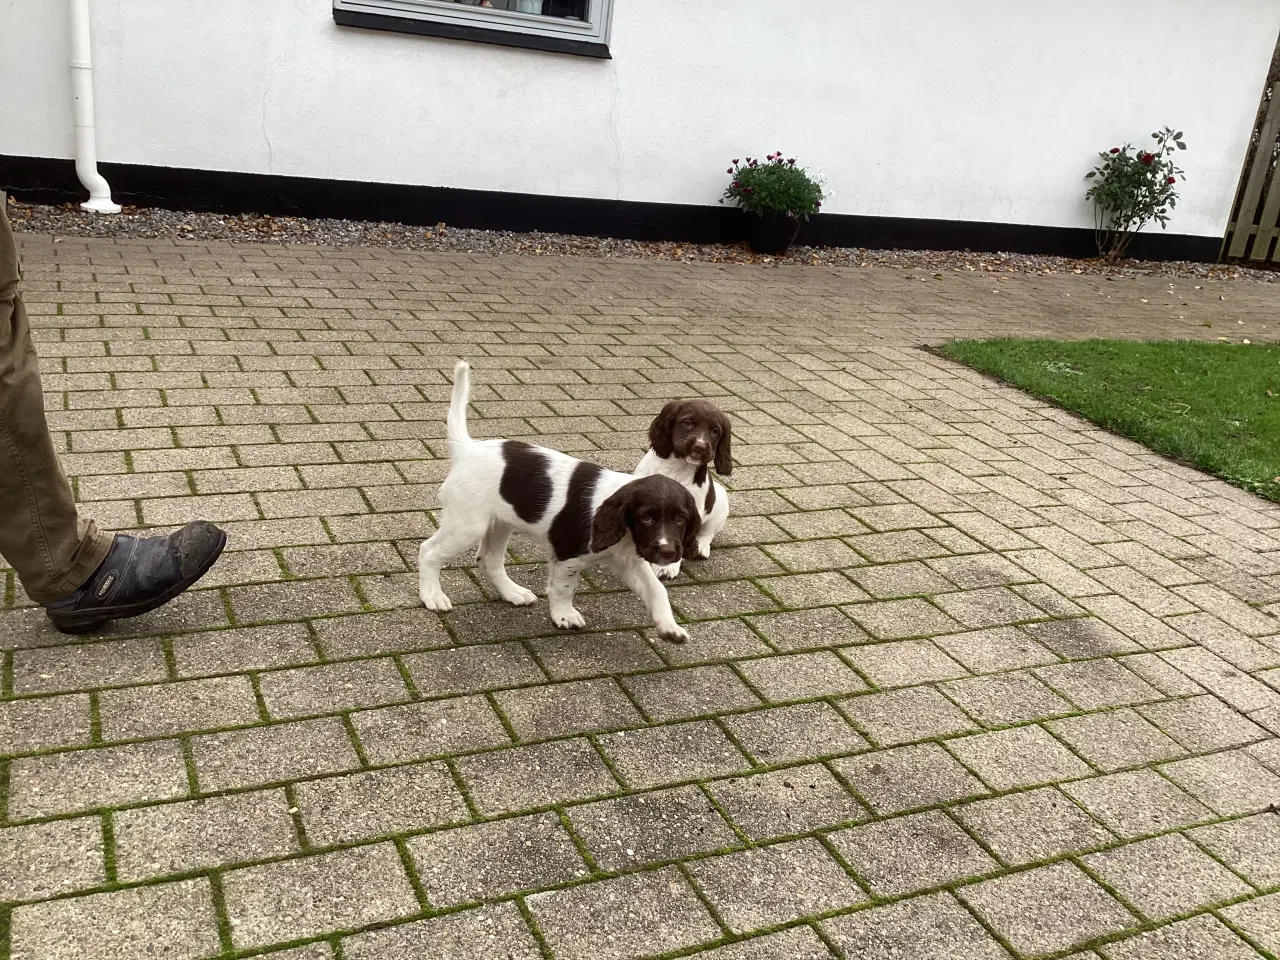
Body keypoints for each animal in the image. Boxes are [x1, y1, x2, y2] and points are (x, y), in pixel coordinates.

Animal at [417, 363, 701, 642]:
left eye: (680, 519)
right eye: (646, 517)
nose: (668, 552)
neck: (624, 534)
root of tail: (467, 449)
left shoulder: (628, 561)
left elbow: (657, 590)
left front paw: (670, 628)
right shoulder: (568, 556)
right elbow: (564, 588)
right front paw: (564, 615)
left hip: (499, 522)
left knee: (488, 560)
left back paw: (513, 593)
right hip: (468, 524)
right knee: (428, 551)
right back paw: (432, 596)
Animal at [632, 399, 732, 578]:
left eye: (715, 431)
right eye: (687, 423)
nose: (700, 446)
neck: (678, 467)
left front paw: (667, 566)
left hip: (720, 500)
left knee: (707, 532)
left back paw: (701, 547)